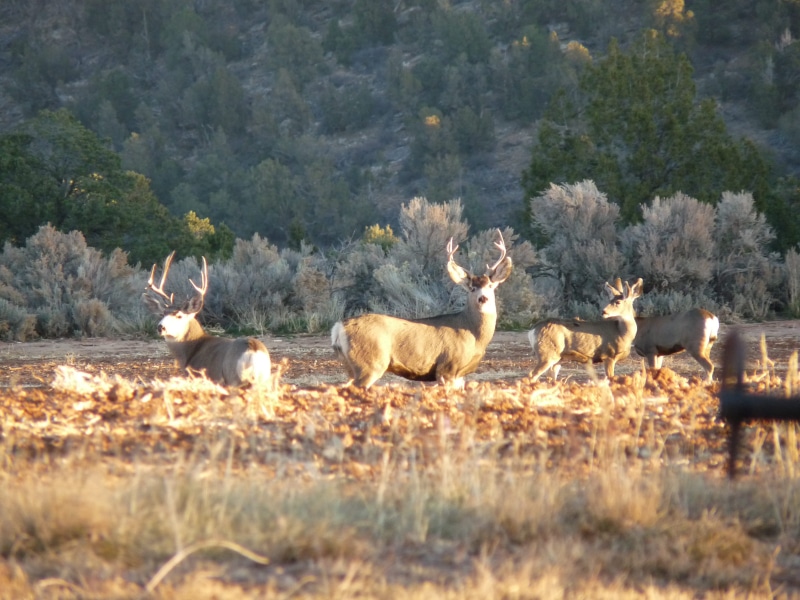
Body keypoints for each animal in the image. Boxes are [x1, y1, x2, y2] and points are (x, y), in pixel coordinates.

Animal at [142, 251, 271, 387]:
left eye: (179, 315)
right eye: (162, 314)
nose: (160, 327)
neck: (192, 349)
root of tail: (254, 350)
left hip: (234, 379)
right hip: (264, 380)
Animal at [330, 229, 513, 389]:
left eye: (491, 286)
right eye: (472, 288)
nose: (483, 298)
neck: (473, 334)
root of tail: (339, 327)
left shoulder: (460, 375)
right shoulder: (447, 367)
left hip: (351, 366)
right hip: (370, 362)